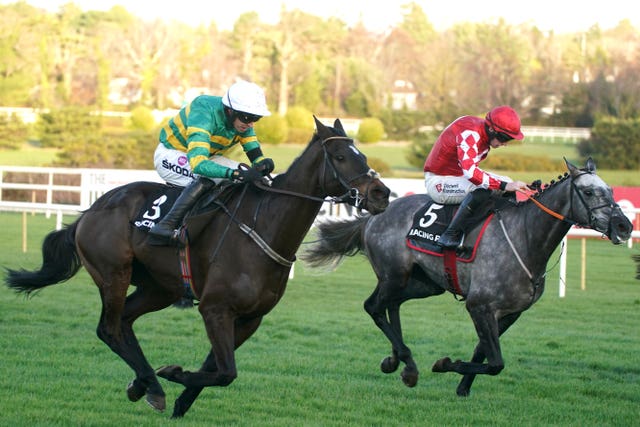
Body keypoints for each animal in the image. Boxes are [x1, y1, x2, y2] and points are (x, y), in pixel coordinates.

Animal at [3, 118, 390, 420]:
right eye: (340, 157)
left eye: (362, 155)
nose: (382, 193)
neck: (263, 226)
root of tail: (87, 213)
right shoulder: (215, 308)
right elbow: (226, 371)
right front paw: (173, 374)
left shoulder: (249, 317)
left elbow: (215, 367)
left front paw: (180, 399)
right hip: (113, 274)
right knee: (109, 329)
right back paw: (153, 384)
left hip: (159, 287)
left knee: (125, 322)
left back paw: (143, 383)